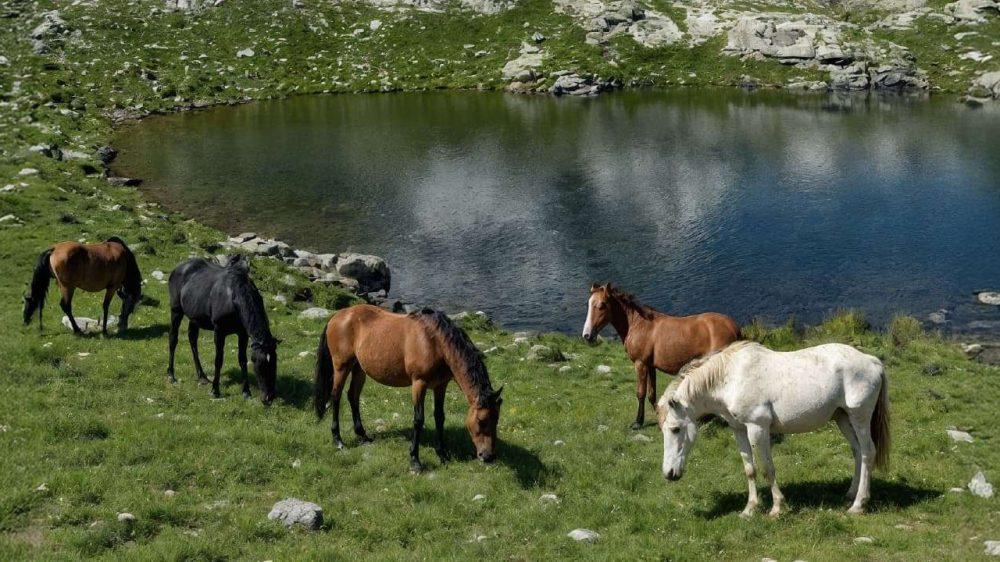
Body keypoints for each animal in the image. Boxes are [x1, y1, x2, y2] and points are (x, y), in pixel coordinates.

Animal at [167, 255, 280, 404]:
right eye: (259, 365)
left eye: (275, 363)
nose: (269, 397)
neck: (233, 297)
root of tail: (179, 268)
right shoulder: (219, 332)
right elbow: (218, 360)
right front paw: (215, 390)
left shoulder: (242, 334)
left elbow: (242, 359)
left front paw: (246, 391)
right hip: (176, 311)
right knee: (173, 338)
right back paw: (171, 375)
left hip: (194, 318)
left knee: (192, 339)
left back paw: (202, 376)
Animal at [315, 305, 502, 473]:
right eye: (481, 420)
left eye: (496, 420)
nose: (488, 456)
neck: (435, 343)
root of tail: (337, 316)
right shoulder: (419, 383)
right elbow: (418, 420)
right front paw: (415, 461)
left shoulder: (440, 386)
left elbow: (439, 417)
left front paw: (442, 455)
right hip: (341, 367)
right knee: (336, 397)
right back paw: (338, 440)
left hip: (359, 369)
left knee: (352, 396)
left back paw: (363, 435)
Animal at [581, 283, 740, 428]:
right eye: (589, 304)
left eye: (602, 305)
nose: (587, 335)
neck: (637, 325)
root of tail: (733, 326)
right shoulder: (650, 366)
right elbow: (652, 394)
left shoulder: (640, 364)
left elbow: (640, 393)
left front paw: (638, 422)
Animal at [657, 340, 890, 517]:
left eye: (675, 429)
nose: (669, 474)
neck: (731, 379)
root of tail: (872, 362)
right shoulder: (739, 430)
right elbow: (750, 469)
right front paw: (749, 509)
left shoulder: (757, 429)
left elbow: (768, 469)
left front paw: (777, 507)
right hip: (843, 418)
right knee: (858, 452)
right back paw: (850, 495)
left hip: (859, 417)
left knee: (868, 452)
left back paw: (859, 505)